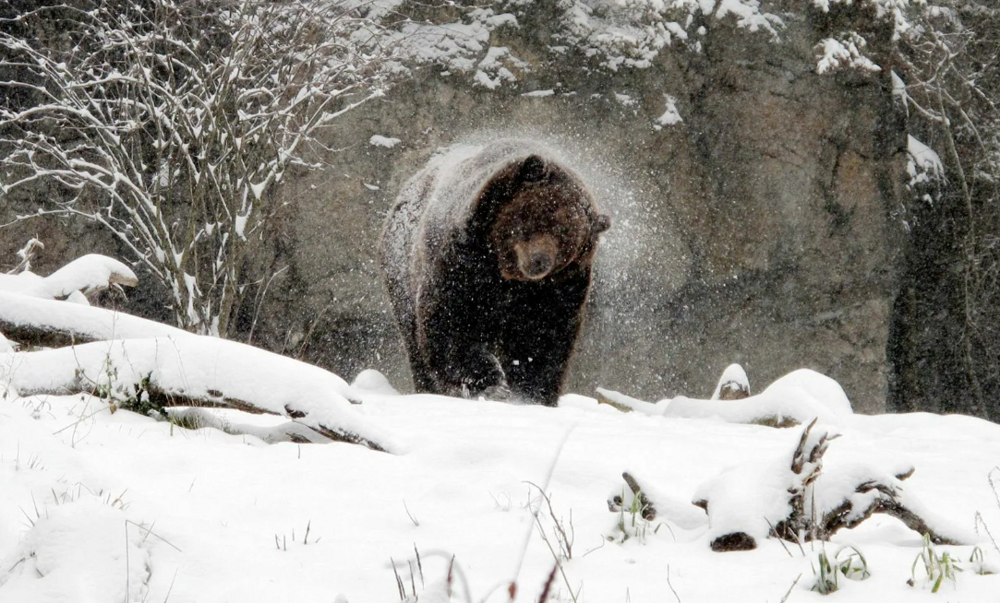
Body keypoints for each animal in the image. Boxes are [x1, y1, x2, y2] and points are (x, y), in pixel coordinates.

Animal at [380, 139, 608, 408]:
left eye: (567, 240)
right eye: (540, 218)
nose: (539, 262)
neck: (505, 274)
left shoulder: (558, 286)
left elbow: (542, 337)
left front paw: (530, 394)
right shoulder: (462, 259)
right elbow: (454, 321)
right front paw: (490, 385)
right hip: (401, 267)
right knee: (413, 339)